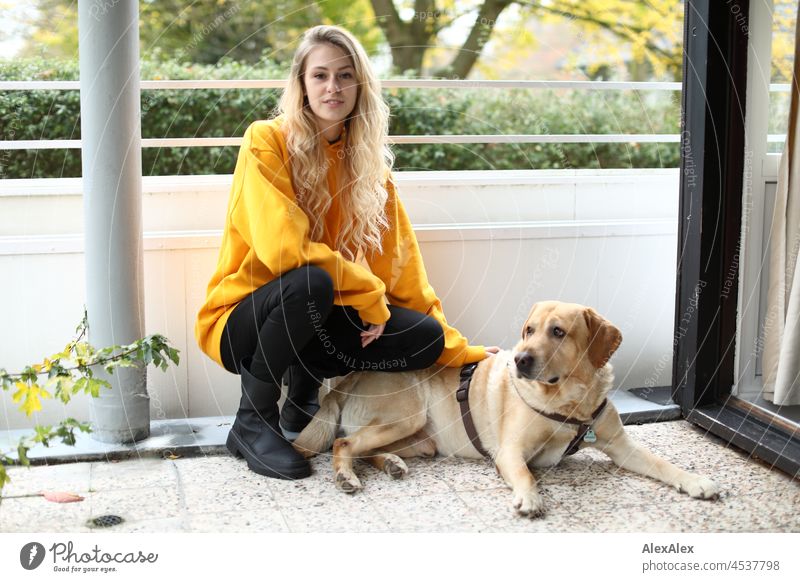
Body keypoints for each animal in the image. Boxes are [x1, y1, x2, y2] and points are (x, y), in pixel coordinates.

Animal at [292, 304, 720, 516]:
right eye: (529, 330)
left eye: (558, 332)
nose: (520, 360)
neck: (568, 401)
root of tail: (350, 377)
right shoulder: (510, 451)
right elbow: (526, 476)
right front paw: (530, 498)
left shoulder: (622, 446)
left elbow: (663, 463)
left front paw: (697, 481)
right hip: (406, 416)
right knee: (344, 444)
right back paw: (346, 475)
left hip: (420, 439)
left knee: (366, 448)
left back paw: (391, 464)